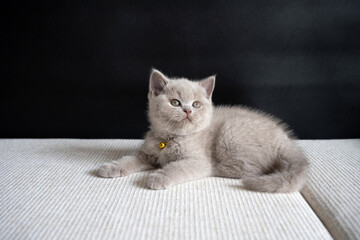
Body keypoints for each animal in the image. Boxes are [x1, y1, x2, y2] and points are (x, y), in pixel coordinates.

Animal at [97, 69, 308, 193]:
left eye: (196, 104)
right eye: (175, 103)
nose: (188, 110)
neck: (171, 138)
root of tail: (287, 143)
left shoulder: (197, 161)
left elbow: (177, 167)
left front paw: (159, 176)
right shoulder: (146, 154)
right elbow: (129, 159)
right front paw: (110, 167)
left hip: (231, 133)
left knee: (250, 169)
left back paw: (220, 168)